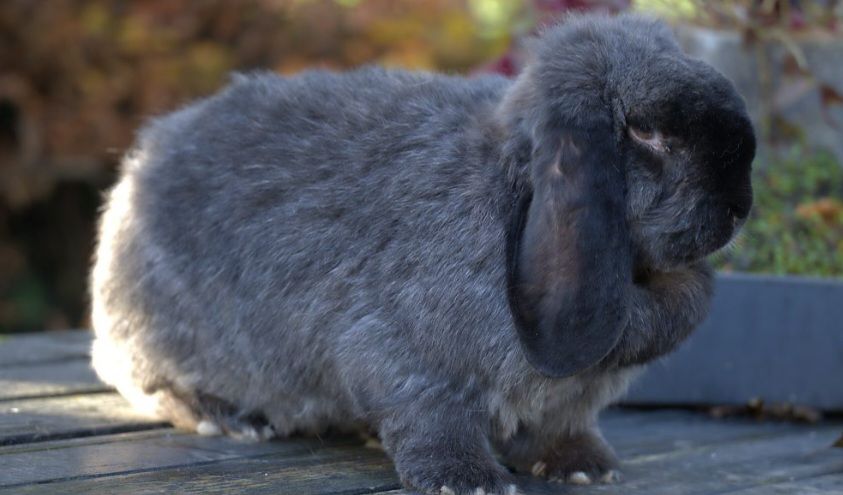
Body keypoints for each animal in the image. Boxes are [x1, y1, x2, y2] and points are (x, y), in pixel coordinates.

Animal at [90, 13, 755, 495]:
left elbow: (561, 423)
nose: (740, 205)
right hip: (153, 330)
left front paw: (585, 464)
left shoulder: (568, 397)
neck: (507, 187)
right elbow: (434, 416)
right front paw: (467, 481)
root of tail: (138, 171)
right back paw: (229, 417)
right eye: (646, 132)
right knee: (142, 381)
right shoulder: (404, 355)